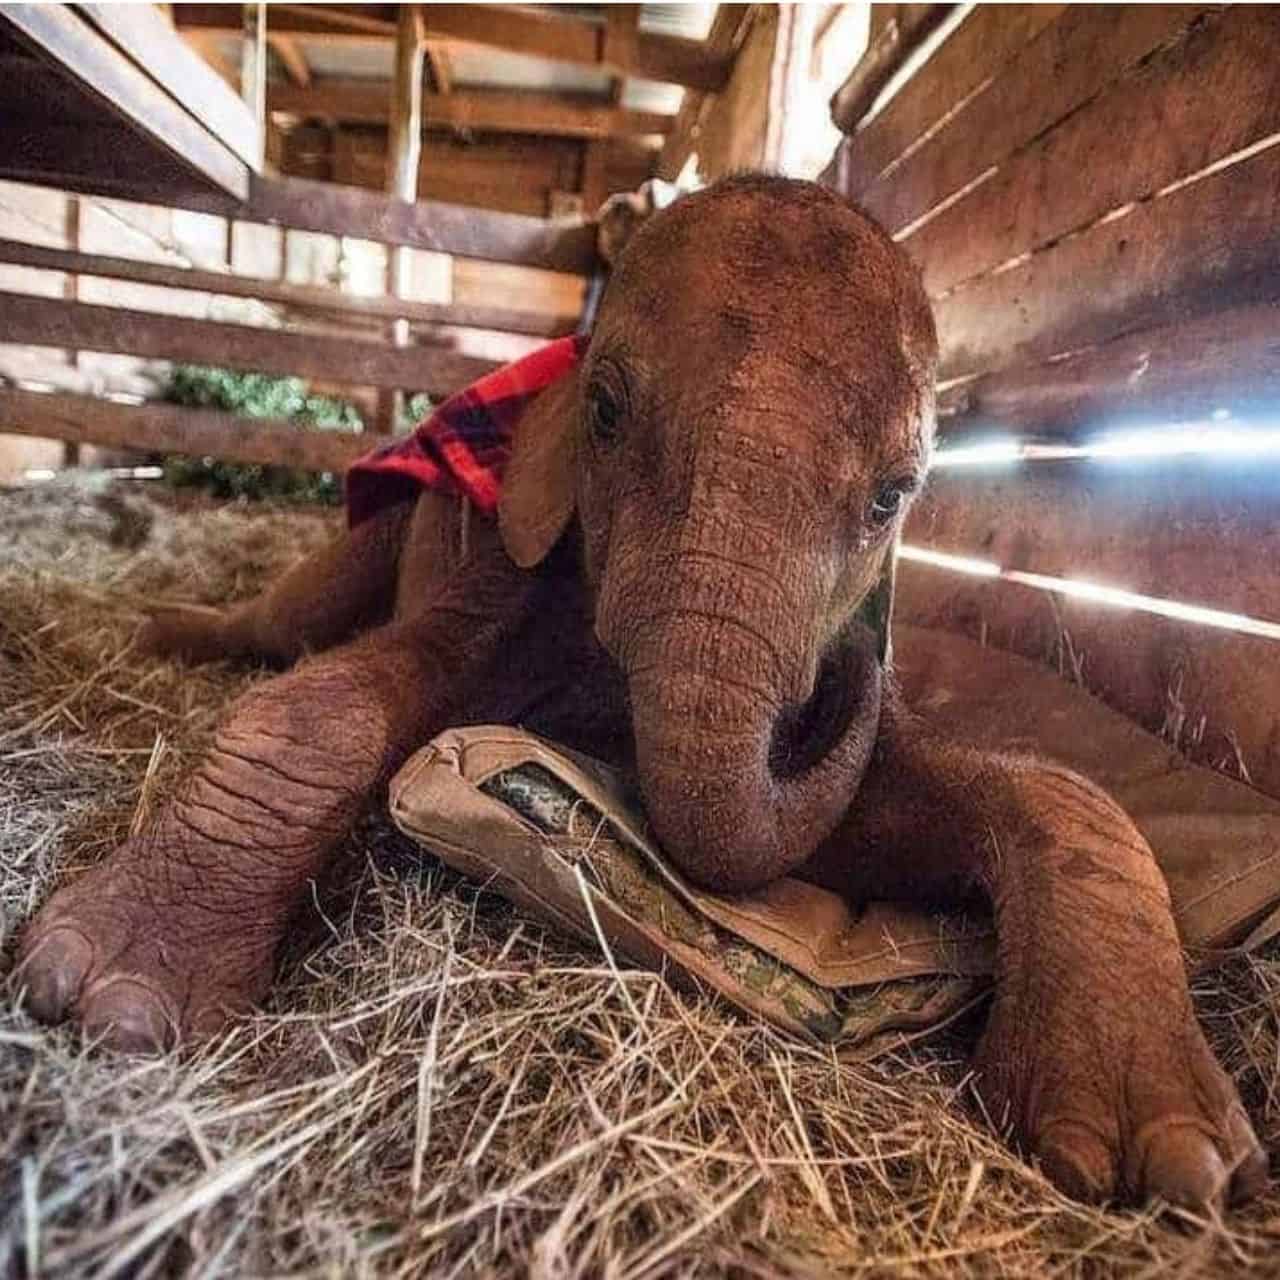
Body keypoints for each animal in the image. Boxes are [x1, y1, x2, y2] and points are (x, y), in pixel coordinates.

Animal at [12, 174, 1267, 1210]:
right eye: (606, 413)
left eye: (892, 497)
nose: (855, 669)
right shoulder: (510, 556)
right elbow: (341, 697)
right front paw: (105, 996)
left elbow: (934, 811)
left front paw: (1162, 1165)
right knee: (290, 619)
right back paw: (165, 631)